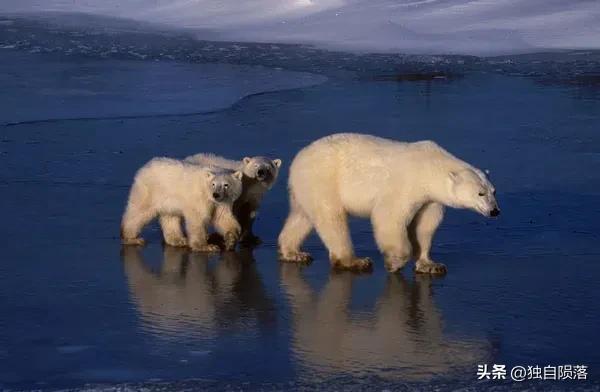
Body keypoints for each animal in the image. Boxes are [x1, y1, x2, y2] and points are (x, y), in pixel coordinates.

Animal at [278, 133, 500, 274]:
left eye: (493, 191)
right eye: (480, 193)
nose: (495, 211)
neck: (430, 166)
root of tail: (298, 158)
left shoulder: (429, 199)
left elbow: (425, 226)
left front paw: (431, 265)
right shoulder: (406, 184)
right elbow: (389, 217)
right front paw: (394, 262)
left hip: (306, 188)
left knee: (302, 216)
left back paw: (293, 252)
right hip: (323, 180)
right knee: (331, 218)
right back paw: (354, 261)